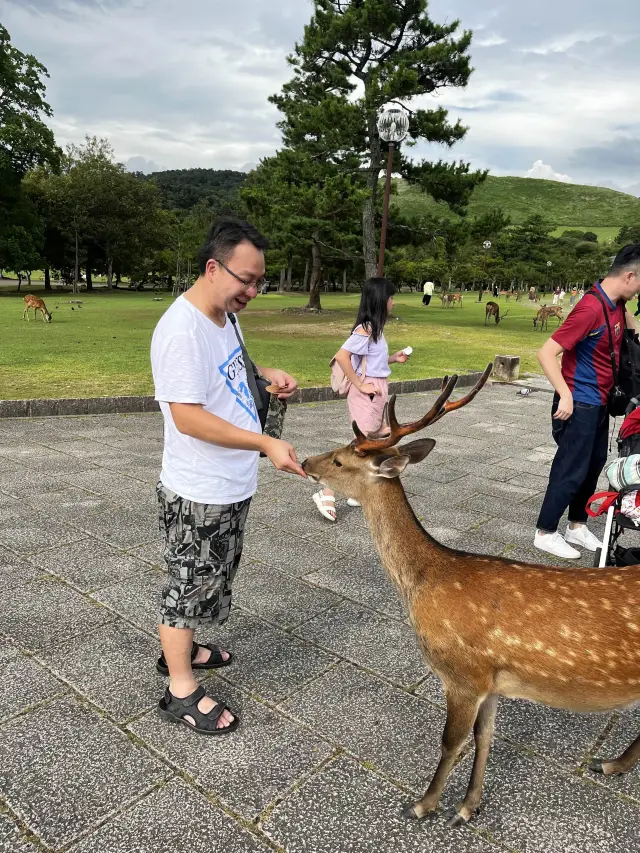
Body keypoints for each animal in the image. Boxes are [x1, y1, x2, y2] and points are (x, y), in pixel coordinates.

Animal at [302, 364, 640, 824]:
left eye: (339, 459)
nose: (304, 461)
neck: (426, 582)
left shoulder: (464, 671)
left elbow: (451, 741)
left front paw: (424, 804)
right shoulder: (492, 680)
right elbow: (485, 736)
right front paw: (468, 805)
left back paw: (611, 763)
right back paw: (612, 763)